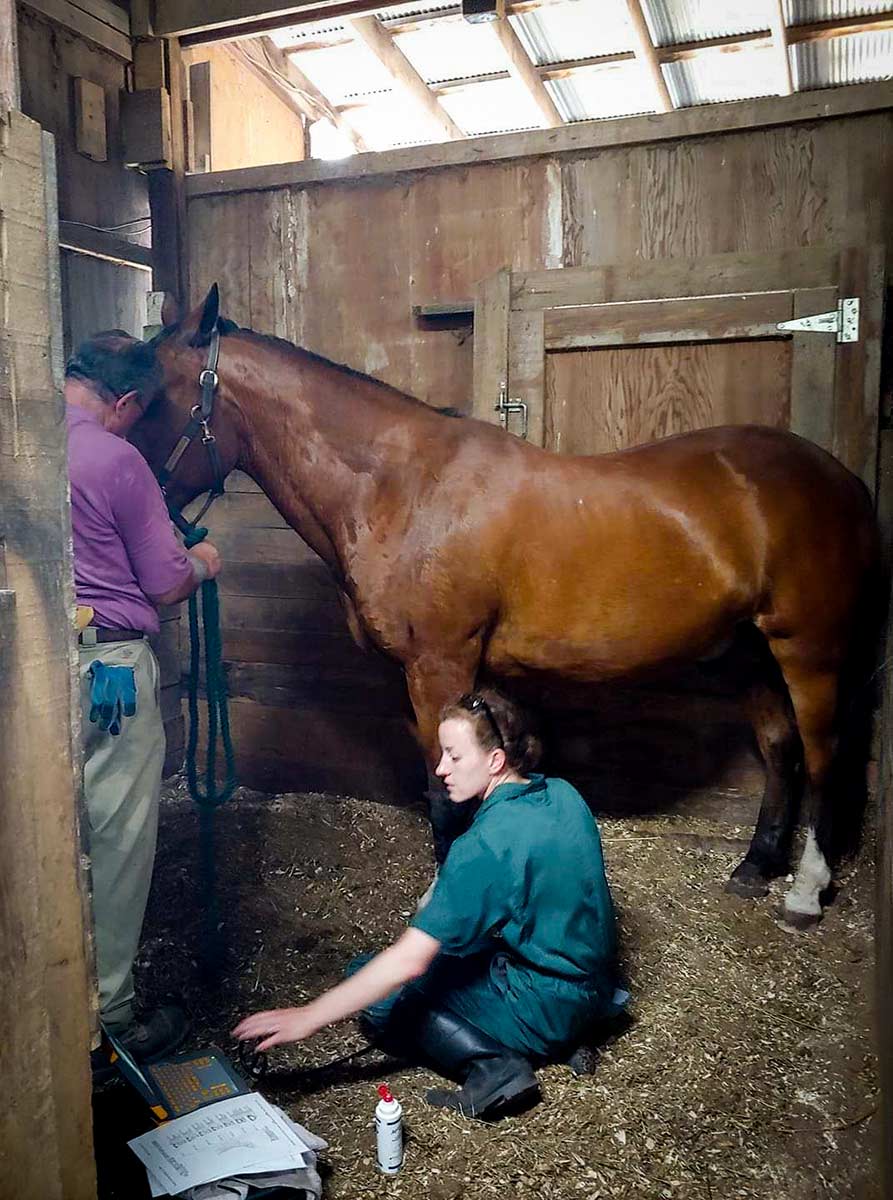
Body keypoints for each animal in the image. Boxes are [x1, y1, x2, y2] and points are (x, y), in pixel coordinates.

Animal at [127, 288, 878, 926]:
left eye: (147, 397)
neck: (402, 487)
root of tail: (840, 477)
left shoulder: (439, 666)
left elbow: (445, 788)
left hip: (807, 649)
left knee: (821, 752)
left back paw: (806, 892)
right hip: (743, 649)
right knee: (779, 746)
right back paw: (756, 865)